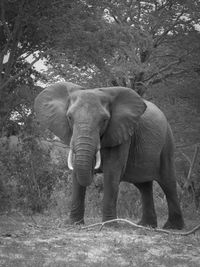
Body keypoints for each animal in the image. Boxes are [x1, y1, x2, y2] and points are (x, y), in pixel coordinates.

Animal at [34, 81, 184, 230]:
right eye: (69, 117)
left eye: (105, 119)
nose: (94, 174)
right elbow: (76, 170)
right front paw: (74, 224)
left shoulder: (121, 132)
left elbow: (112, 172)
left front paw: (109, 225)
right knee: (144, 186)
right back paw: (146, 225)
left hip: (167, 143)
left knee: (168, 183)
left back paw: (172, 227)